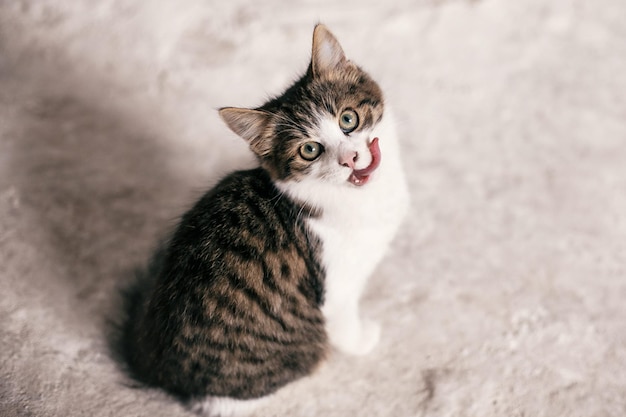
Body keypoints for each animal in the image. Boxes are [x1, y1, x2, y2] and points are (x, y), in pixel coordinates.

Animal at [119, 24, 408, 414]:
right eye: (309, 150)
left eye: (348, 119)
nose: (349, 158)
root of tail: (154, 367)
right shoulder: (336, 288)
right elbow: (346, 325)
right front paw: (364, 340)